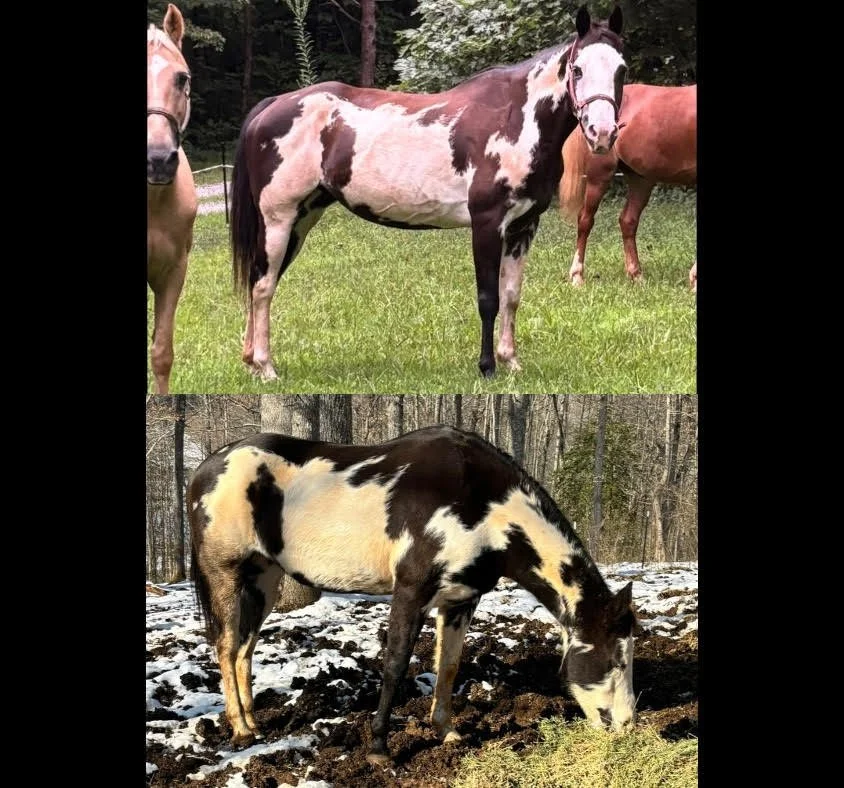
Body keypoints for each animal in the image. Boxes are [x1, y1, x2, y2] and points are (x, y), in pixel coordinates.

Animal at [188, 425, 639, 765]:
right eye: (615, 658)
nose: (626, 725)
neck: (483, 504)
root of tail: (206, 468)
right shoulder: (410, 592)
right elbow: (395, 664)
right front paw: (378, 748)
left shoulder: (460, 600)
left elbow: (449, 666)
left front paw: (447, 732)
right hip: (225, 574)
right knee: (225, 646)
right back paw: (241, 730)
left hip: (264, 580)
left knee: (244, 648)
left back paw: (254, 722)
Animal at [230, 6, 626, 381]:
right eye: (577, 69)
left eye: (621, 71)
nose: (603, 133)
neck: (516, 118)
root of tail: (272, 106)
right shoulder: (487, 224)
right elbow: (488, 298)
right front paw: (487, 367)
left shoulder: (523, 226)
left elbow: (512, 295)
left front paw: (510, 360)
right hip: (280, 220)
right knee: (263, 286)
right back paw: (266, 367)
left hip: (302, 220)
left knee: (260, 281)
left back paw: (251, 362)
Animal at [558, 83, 697, 290]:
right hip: (600, 176)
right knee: (585, 220)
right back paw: (577, 276)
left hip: (641, 180)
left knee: (627, 221)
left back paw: (636, 275)